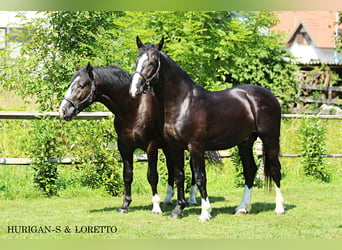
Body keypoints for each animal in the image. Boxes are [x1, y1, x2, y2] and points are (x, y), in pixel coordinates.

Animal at [57, 63, 199, 214]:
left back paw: (192, 199)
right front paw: (125, 205)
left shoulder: (151, 146)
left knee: (192, 167)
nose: (63, 111)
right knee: (171, 168)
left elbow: (152, 176)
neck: (134, 108)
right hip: (168, 147)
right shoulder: (124, 147)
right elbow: (127, 175)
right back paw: (168, 199)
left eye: (82, 85)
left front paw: (156, 206)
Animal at [130, 36, 284, 222]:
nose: (134, 90)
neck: (183, 102)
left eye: (152, 62)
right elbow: (179, 176)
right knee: (250, 170)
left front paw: (205, 212)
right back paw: (242, 208)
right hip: (245, 142)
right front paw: (178, 210)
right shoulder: (175, 148)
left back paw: (279, 207)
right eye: (137, 60)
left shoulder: (196, 147)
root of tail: (270, 96)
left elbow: (200, 177)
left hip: (270, 139)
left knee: (275, 169)